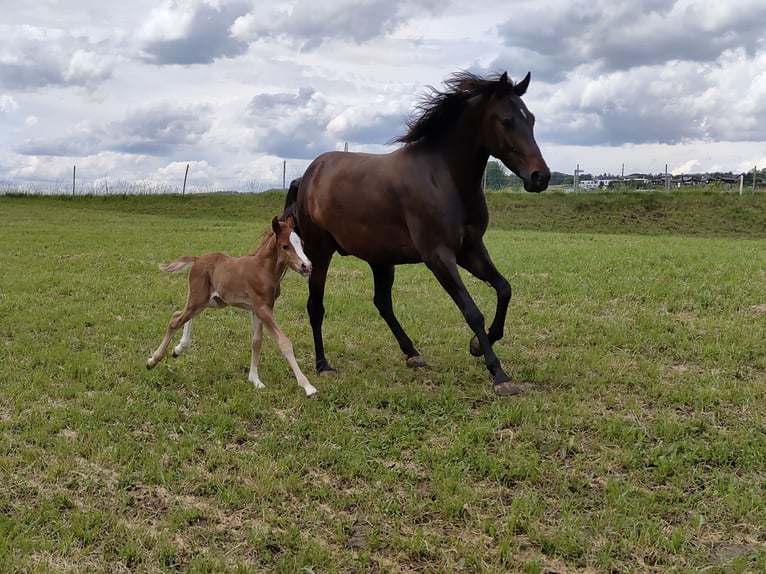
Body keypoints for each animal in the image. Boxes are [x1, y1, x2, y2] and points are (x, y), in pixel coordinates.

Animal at [147, 214, 318, 398]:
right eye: (285, 246)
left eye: (301, 243)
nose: (307, 266)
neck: (262, 270)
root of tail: (197, 259)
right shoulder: (262, 309)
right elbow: (284, 342)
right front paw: (307, 386)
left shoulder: (259, 309)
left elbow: (257, 341)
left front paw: (255, 380)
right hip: (199, 298)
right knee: (175, 320)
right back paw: (152, 361)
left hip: (211, 301)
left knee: (180, 314)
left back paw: (178, 349)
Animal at [284, 71, 548, 396]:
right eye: (507, 121)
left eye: (531, 119)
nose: (540, 177)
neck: (443, 178)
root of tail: (307, 175)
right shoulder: (439, 257)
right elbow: (472, 311)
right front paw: (499, 374)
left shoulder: (471, 250)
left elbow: (504, 289)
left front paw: (477, 344)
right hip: (320, 252)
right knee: (316, 306)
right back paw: (323, 365)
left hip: (380, 259)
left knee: (382, 303)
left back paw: (412, 354)